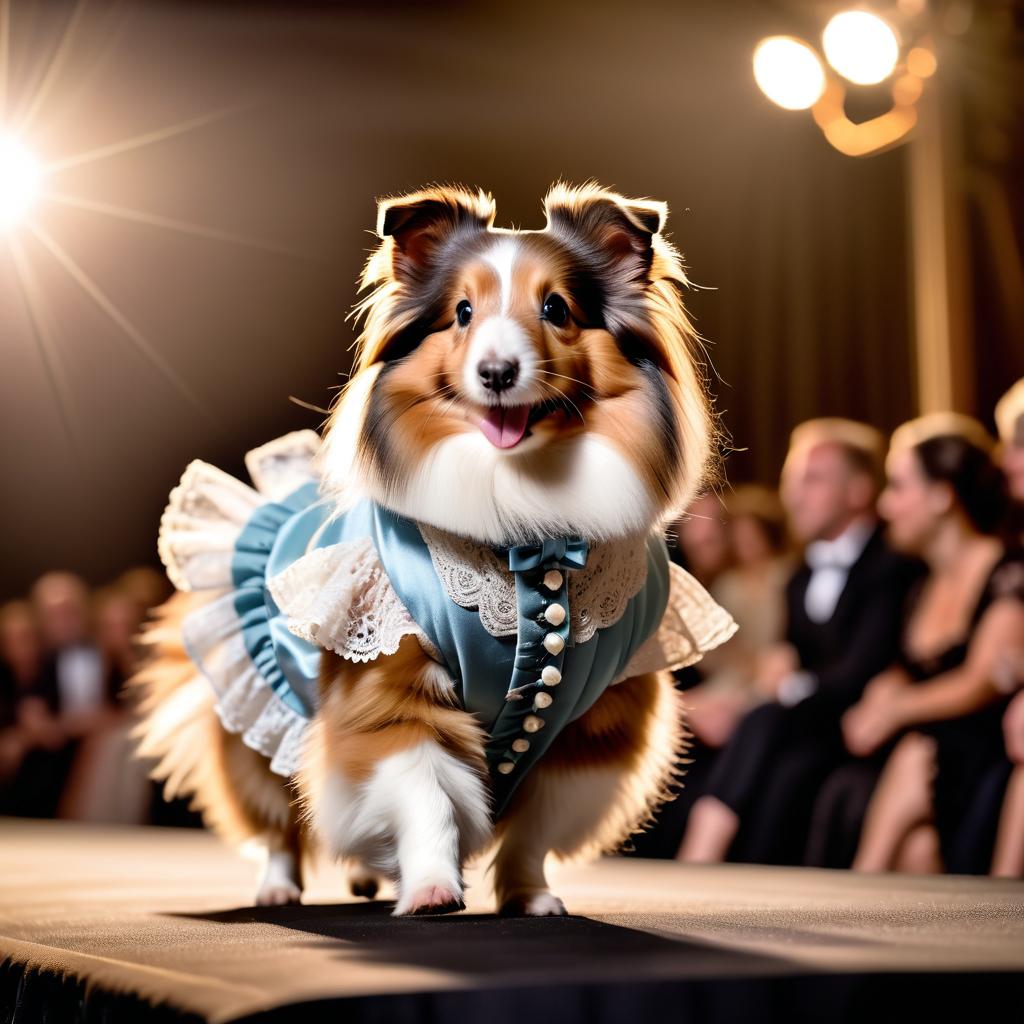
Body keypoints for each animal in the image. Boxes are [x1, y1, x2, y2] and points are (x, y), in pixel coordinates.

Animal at [132, 182, 733, 921]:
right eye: (462, 313)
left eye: (556, 309)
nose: (497, 372)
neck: (528, 542)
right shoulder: (391, 694)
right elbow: (427, 798)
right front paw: (431, 888)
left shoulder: (585, 729)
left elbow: (532, 832)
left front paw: (530, 897)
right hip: (257, 713)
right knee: (278, 817)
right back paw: (279, 887)